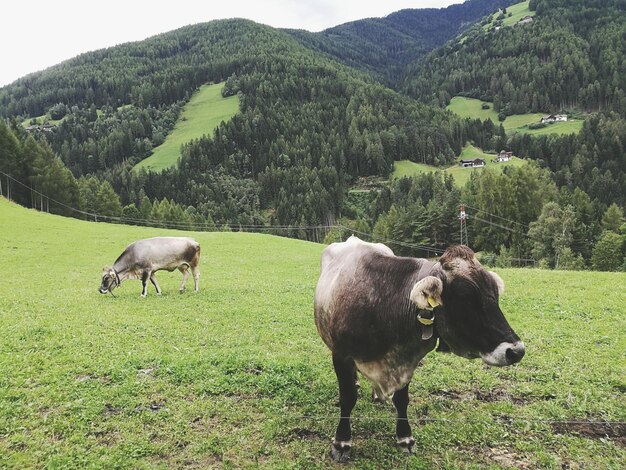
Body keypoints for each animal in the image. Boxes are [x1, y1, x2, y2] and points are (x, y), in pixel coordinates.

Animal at [312, 235, 520, 462]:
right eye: (465, 298)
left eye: (495, 296)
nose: (516, 351)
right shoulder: (341, 355)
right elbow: (347, 398)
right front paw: (342, 442)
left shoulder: (407, 358)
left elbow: (402, 400)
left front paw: (405, 438)